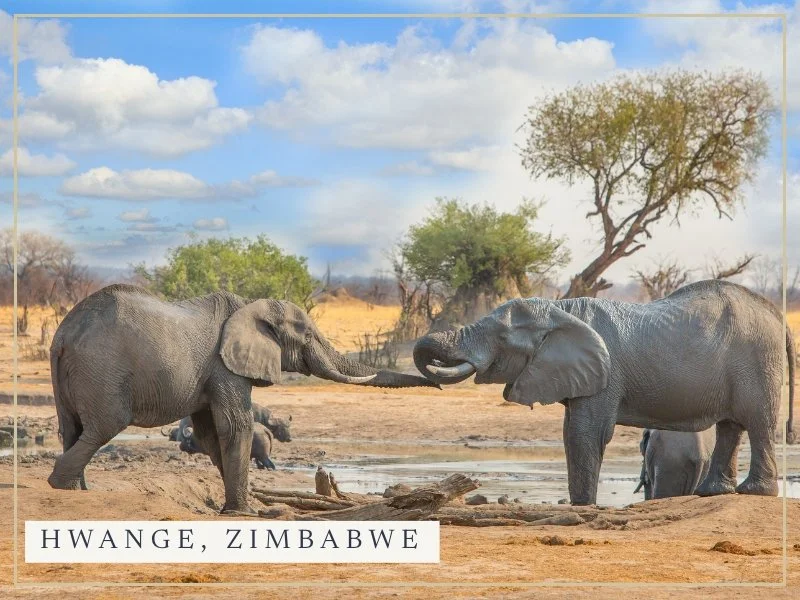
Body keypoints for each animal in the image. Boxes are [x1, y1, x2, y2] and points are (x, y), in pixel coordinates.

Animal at [48, 283, 438, 514]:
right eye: (307, 335)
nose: (437, 384)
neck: (253, 308)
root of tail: (65, 333)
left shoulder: (211, 374)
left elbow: (210, 433)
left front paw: (237, 507)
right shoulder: (226, 366)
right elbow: (235, 425)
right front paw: (244, 512)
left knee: (72, 429)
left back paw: (78, 490)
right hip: (101, 369)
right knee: (103, 427)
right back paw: (60, 485)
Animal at [413, 280, 795, 506]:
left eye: (502, 338)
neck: (560, 308)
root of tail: (775, 313)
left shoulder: (605, 374)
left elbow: (585, 433)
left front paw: (584, 507)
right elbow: (571, 433)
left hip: (758, 359)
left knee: (758, 423)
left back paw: (755, 492)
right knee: (731, 426)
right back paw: (713, 492)